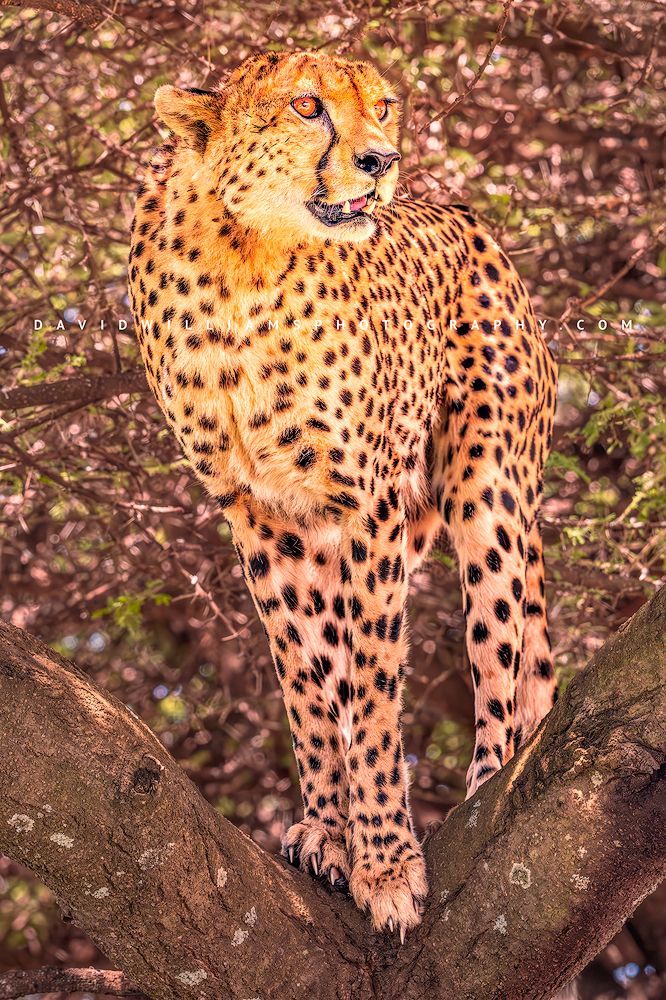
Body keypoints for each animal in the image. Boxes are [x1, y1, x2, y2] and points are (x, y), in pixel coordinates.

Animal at [129, 49, 558, 939]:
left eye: (384, 106)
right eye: (306, 107)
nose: (381, 162)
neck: (246, 256)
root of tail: (465, 219)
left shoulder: (369, 504)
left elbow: (374, 686)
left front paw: (386, 863)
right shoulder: (261, 515)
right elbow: (309, 679)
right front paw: (329, 833)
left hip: (489, 492)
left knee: (503, 659)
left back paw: (483, 792)